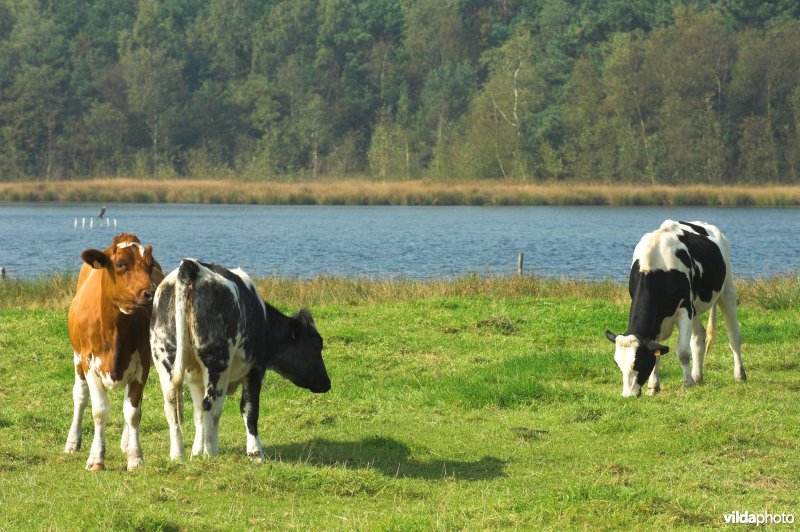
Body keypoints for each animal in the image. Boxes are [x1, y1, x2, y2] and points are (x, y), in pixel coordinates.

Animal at [63, 233, 162, 470]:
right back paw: (72, 442)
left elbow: (133, 411)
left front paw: (135, 457)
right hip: (77, 359)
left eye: (149, 265)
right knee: (80, 396)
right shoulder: (89, 363)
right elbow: (99, 410)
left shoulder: (142, 365)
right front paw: (96, 459)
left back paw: (126, 444)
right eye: (120, 265)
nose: (150, 293)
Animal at [150, 260, 328, 460]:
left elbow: (198, 416)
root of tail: (191, 265)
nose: (327, 383)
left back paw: (177, 455)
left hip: (166, 360)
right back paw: (212, 453)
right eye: (316, 344)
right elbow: (249, 409)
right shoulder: (255, 370)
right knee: (211, 405)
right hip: (217, 364)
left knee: (173, 405)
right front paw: (256, 452)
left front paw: (196, 453)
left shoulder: (195, 381)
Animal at [604, 218, 748, 396]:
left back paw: (739, 374)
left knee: (734, 336)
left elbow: (683, 351)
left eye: (638, 362)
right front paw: (653, 387)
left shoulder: (685, 309)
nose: (628, 395)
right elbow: (657, 353)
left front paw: (687, 383)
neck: (654, 266)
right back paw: (697, 375)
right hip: (696, 307)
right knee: (698, 338)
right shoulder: (660, 320)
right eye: (617, 364)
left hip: (727, 290)